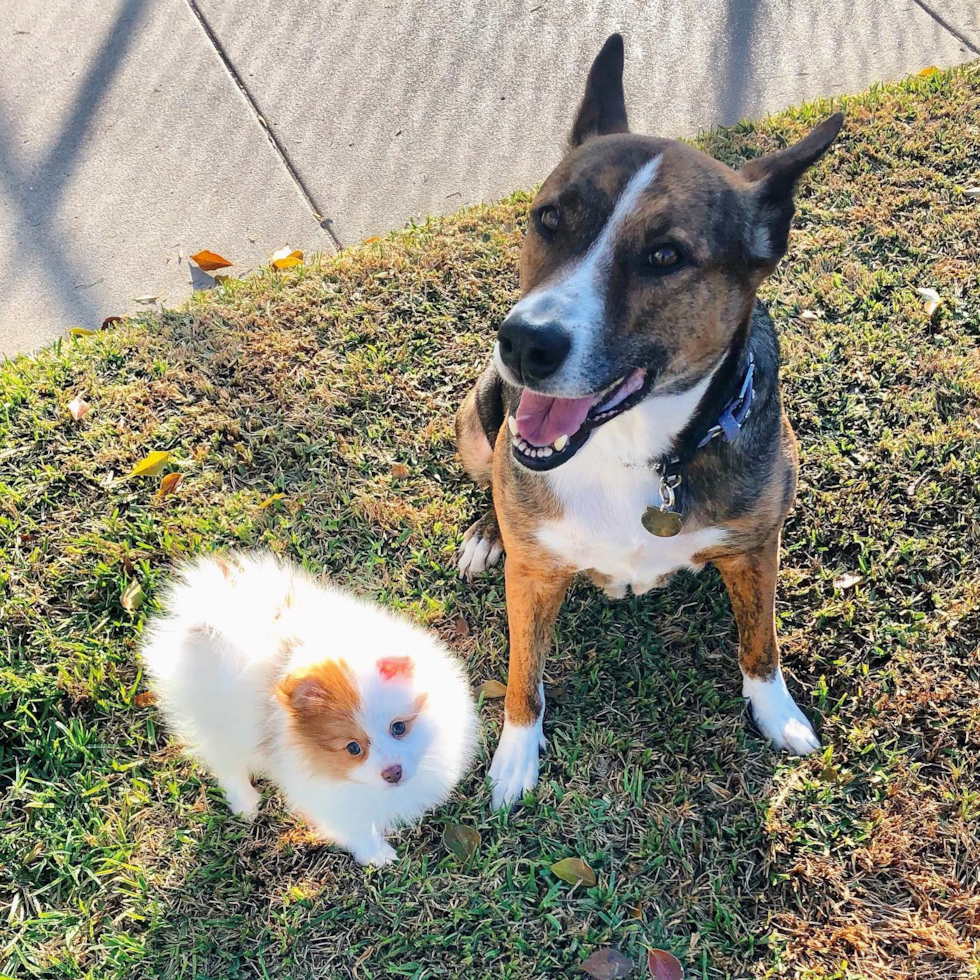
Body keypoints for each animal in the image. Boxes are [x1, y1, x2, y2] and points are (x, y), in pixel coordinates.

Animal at [141, 552, 478, 864]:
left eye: (399, 728)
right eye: (353, 748)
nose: (392, 773)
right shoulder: (328, 796)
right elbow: (356, 828)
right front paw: (377, 856)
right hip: (213, 719)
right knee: (225, 762)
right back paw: (246, 802)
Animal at [456, 34, 848, 808]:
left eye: (666, 256)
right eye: (549, 219)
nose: (522, 342)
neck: (632, 452)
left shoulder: (756, 546)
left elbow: (762, 641)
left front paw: (777, 712)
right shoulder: (534, 575)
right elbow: (522, 672)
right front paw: (515, 756)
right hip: (477, 418)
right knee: (493, 475)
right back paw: (487, 532)